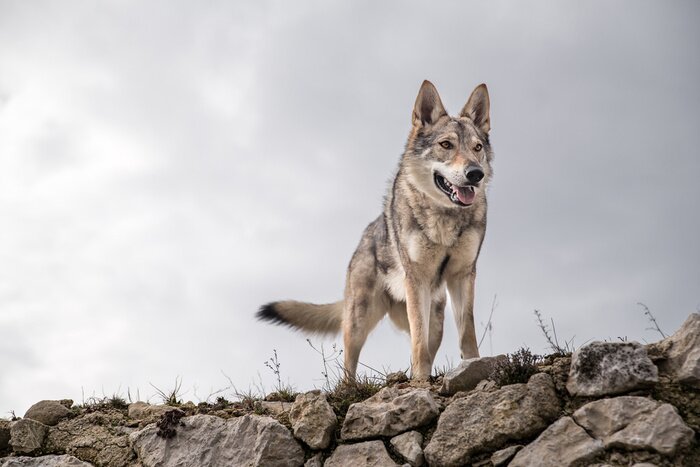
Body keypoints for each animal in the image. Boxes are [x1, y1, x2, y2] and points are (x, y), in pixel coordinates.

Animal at [257, 80, 493, 380]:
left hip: (436, 320)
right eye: (446, 145)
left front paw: (474, 367)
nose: (475, 174)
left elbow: (467, 334)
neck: (445, 219)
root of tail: (364, 237)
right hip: (359, 320)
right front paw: (420, 381)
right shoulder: (417, 279)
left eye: (477, 147)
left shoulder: (463, 275)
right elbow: (419, 344)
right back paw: (353, 387)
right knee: (350, 366)